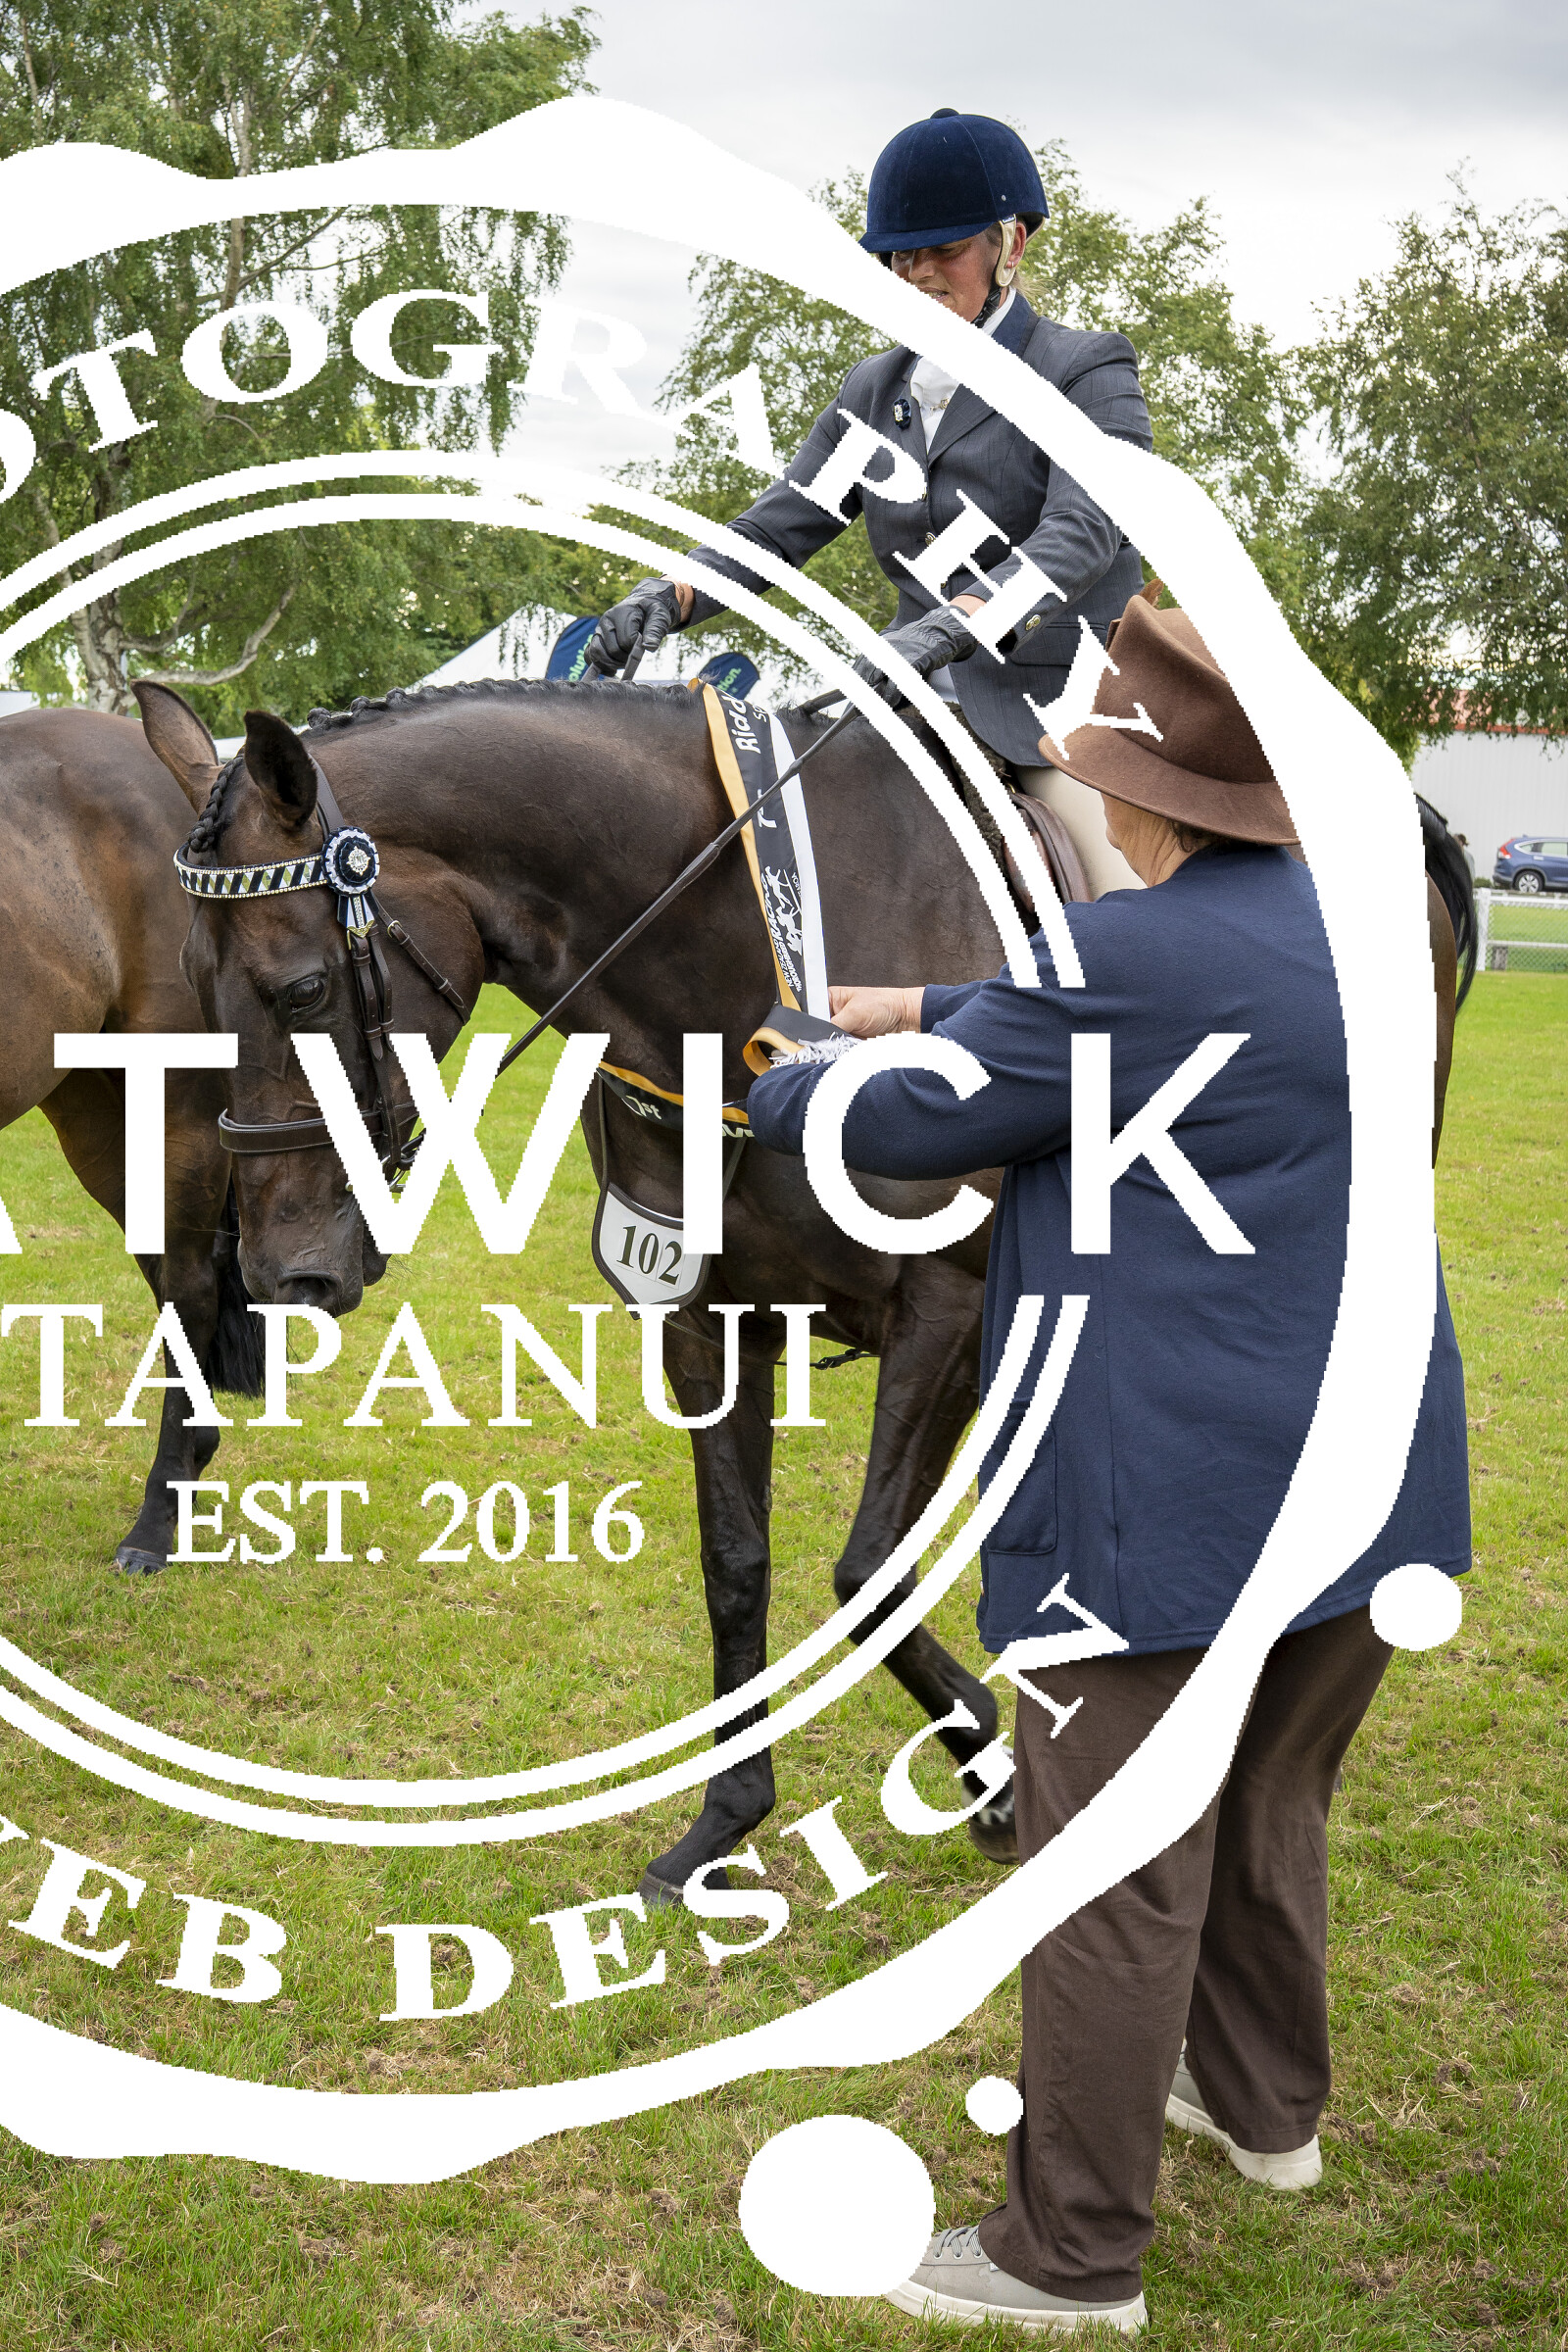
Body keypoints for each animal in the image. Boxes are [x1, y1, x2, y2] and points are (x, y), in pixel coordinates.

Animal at [133, 674, 1461, 1900]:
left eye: (303, 988)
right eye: (191, 987)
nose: (284, 1271)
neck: (734, 978)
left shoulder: (947, 1314)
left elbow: (866, 1575)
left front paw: (992, 1782)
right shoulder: (706, 1320)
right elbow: (737, 1566)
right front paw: (723, 1825)